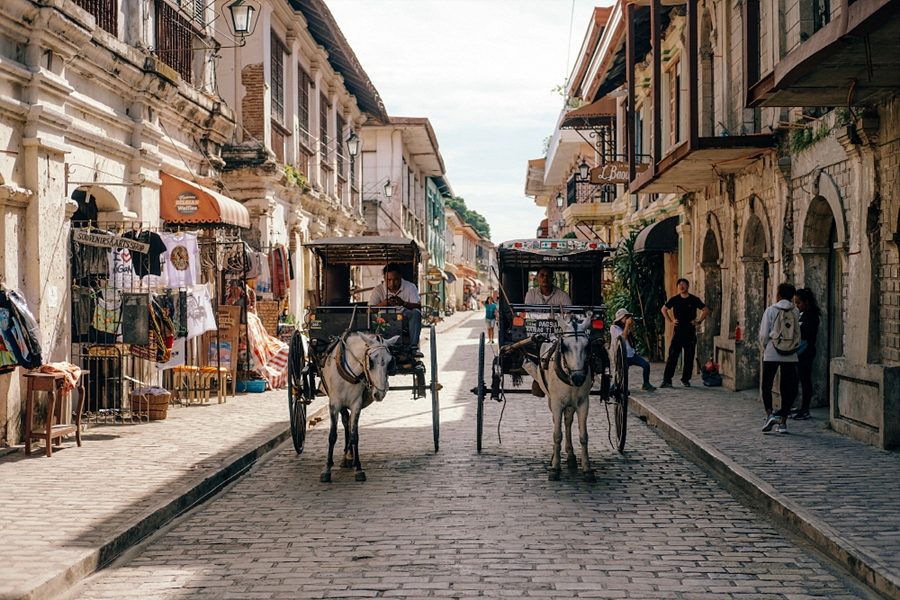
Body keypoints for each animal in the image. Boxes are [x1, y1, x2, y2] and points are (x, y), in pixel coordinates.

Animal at [318, 330, 400, 480]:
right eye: (371, 361)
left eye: (390, 361)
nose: (380, 394)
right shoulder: (334, 404)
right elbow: (332, 436)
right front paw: (327, 469)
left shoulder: (356, 404)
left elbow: (354, 435)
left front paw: (358, 468)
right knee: (346, 421)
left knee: (348, 422)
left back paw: (349, 457)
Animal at [520, 312, 596, 480]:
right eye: (565, 346)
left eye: (587, 346)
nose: (579, 378)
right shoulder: (556, 403)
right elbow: (557, 435)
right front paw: (555, 467)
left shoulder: (583, 403)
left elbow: (584, 436)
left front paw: (587, 469)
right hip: (551, 400)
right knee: (557, 422)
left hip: (571, 404)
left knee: (567, 422)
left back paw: (571, 456)